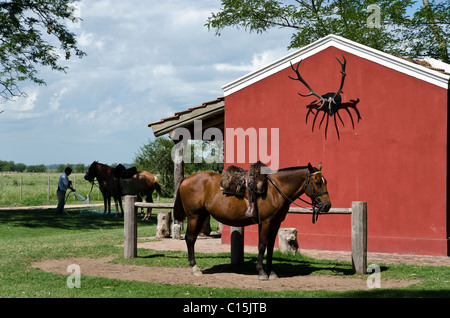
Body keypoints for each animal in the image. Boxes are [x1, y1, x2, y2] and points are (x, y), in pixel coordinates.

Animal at [174, 163, 332, 280]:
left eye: (326, 181)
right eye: (317, 182)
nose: (327, 205)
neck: (275, 190)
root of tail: (186, 179)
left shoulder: (275, 223)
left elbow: (270, 247)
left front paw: (271, 271)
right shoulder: (266, 222)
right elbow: (262, 245)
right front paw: (261, 272)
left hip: (201, 216)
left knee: (192, 239)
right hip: (194, 216)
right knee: (189, 239)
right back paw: (195, 268)